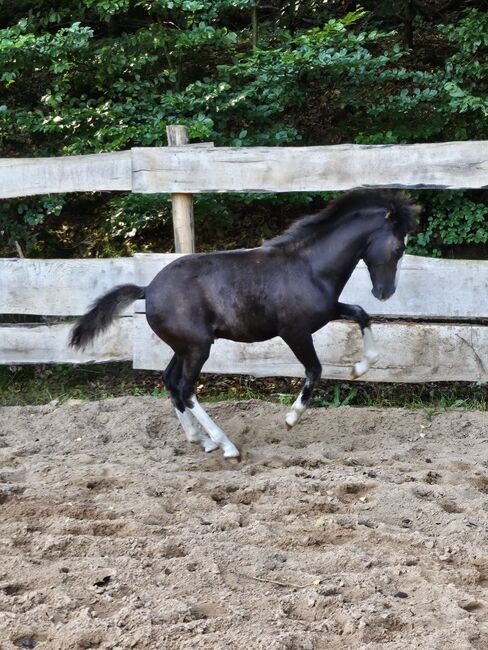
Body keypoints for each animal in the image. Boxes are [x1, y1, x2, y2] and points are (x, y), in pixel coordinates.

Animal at [70, 190, 418, 458]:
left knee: (170, 381)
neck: (309, 267)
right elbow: (315, 370)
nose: (385, 292)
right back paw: (225, 445)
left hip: (184, 347)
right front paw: (291, 418)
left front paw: (361, 367)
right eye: (398, 248)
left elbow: (360, 313)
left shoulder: (326, 313)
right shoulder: (294, 331)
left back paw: (200, 440)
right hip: (197, 349)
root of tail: (147, 289)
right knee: (185, 388)